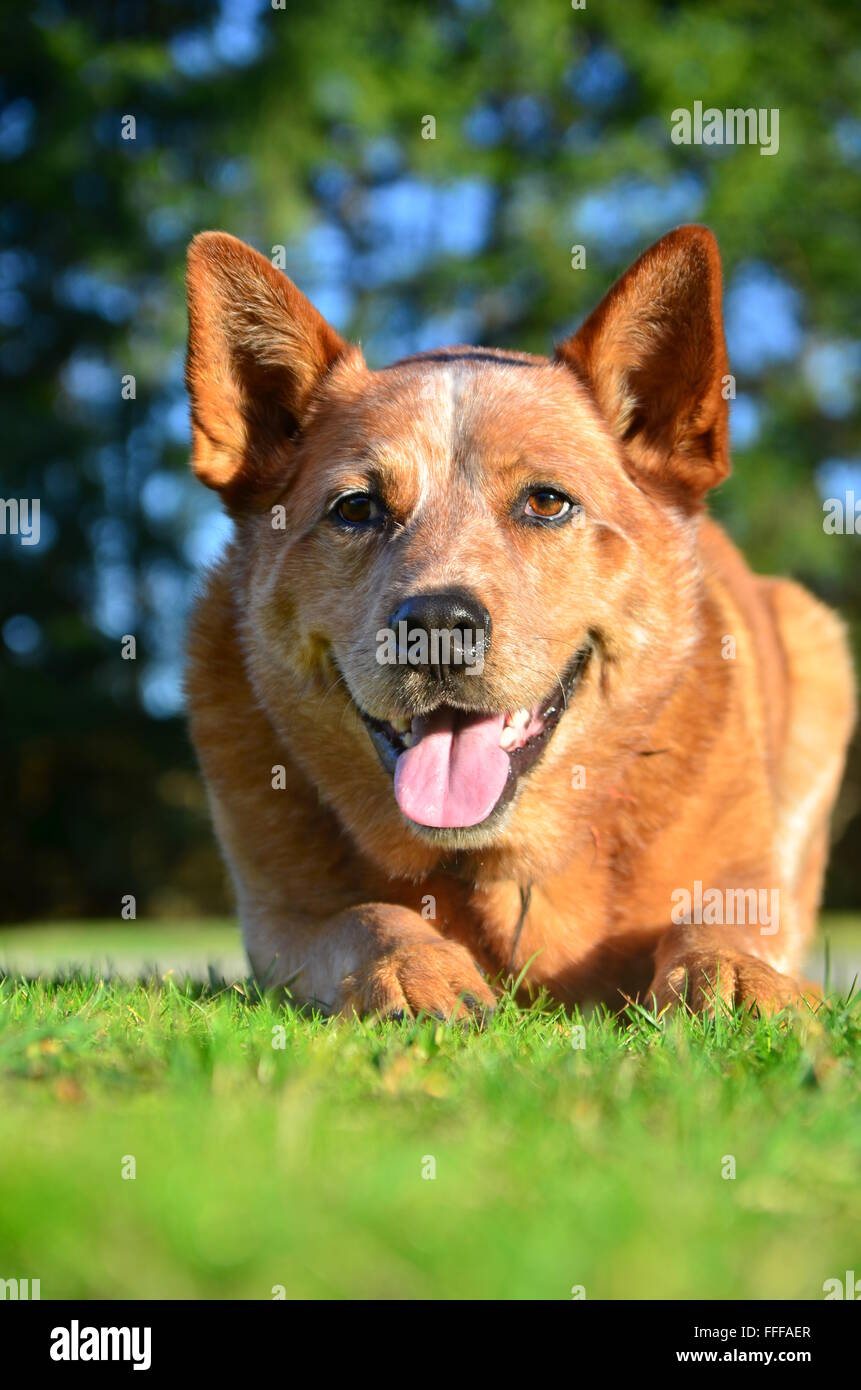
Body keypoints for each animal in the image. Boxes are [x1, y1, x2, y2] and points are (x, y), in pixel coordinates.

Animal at [182, 222, 856, 1017]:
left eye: (545, 501)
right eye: (356, 508)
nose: (437, 626)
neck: (498, 864)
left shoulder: (743, 886)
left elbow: (713, 925)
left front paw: (734, 971)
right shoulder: (281, 921)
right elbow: (365, 914)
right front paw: (411, 964)